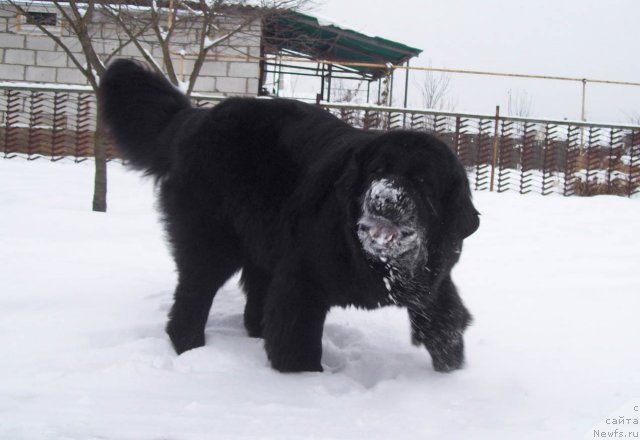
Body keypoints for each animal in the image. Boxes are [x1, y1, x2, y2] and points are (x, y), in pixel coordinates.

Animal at [101, 59, 480, 372]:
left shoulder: (433, 279)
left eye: (422, 180)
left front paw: (452, 372)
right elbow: (297, 341)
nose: (383, 198)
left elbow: (445, 318)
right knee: (194, 294)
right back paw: (191, 350)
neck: (384, 265)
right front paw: (302, 384)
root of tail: (195, 117)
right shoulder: (302, 280)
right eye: (378, 170)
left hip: (264, 244)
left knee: (255, 300)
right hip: (211, 242)